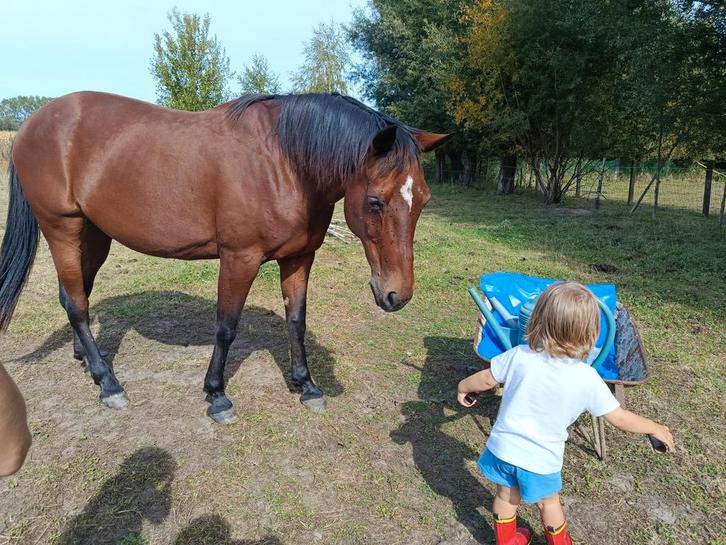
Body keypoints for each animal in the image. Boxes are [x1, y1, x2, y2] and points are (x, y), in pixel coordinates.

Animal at [0, 91, 450, 423]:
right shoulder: (239, 259)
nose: (396, 295)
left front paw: (306, 385)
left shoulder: (300, 257)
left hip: (93, 234)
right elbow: (226, 327)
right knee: (76, 302)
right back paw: (108, 383)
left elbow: (296, 321)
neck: (285, 163)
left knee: (75, 295)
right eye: (375, 201)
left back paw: (85, 359)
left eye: (423, 200)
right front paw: (217, 395)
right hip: (62, 229)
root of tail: (31, 125)